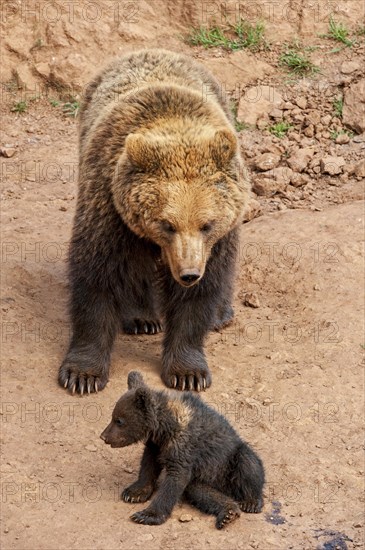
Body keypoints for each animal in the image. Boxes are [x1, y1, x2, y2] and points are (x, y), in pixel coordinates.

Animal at [58, 47, 249, 394]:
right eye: (167, 224)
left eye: (207, 224)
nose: (188, 273)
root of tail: (152, 50)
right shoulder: (111, 209)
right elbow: (97, 277)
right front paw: (82, 375)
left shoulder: (217, 240)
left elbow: (200, 295)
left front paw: (189, 372)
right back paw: (142, 317)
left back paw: (221, 313)